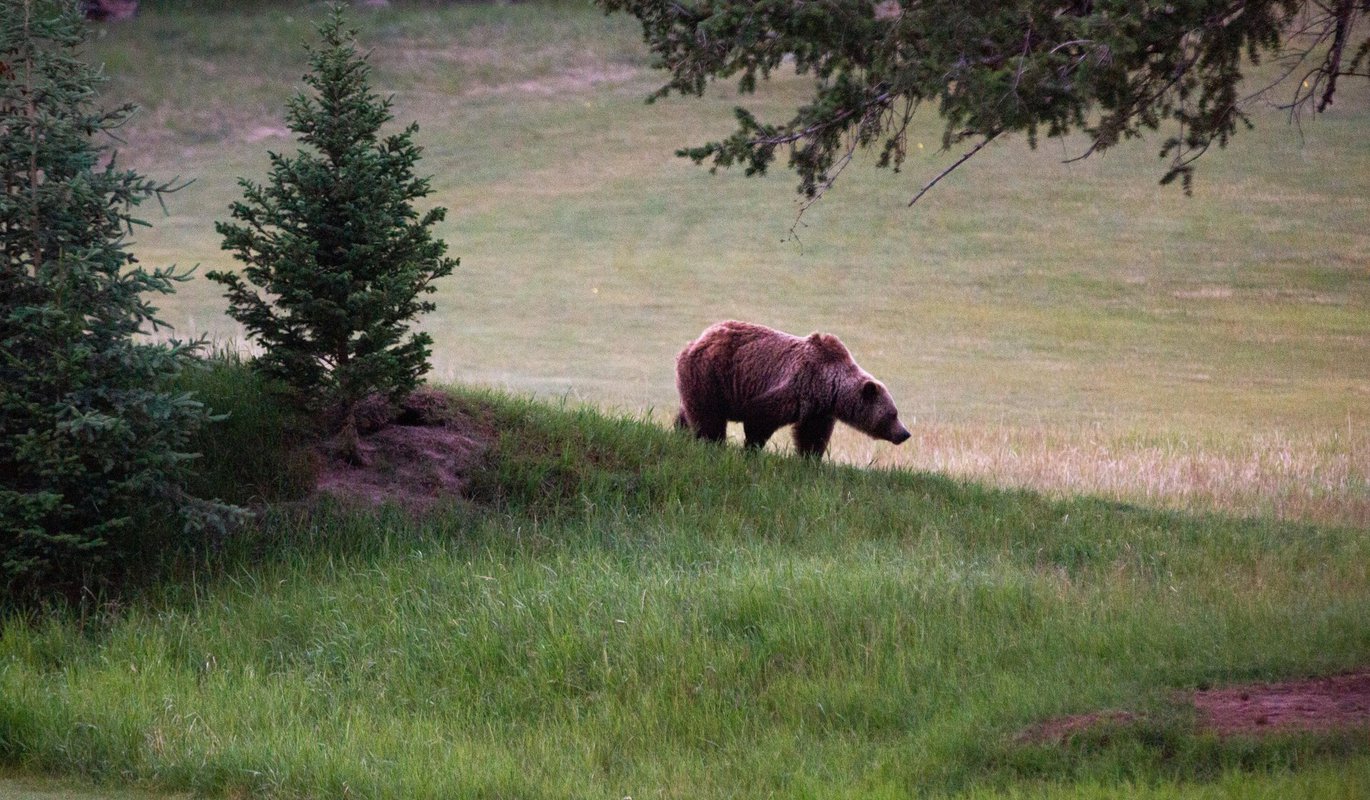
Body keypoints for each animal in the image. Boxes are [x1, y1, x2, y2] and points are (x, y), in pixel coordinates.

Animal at [674, 320, 912, 458]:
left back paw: (681, 430)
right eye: (893, 414)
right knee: (709, 417)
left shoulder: (819, 410)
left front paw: (810, 457)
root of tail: (699, 339)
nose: (905, 433)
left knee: (689, 410)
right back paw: (711, 442)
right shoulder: (795, 388)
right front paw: (752, 447)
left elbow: (812, 434)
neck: (830, 388)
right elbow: (760, 418)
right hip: (712, 374)